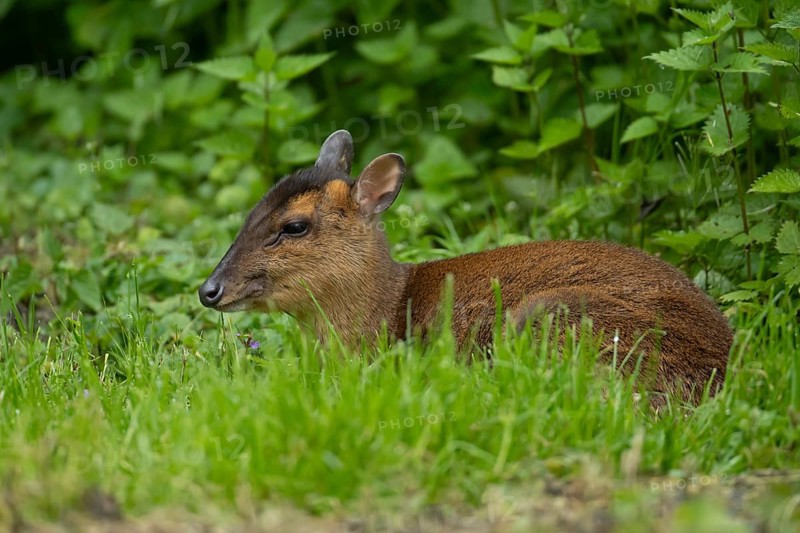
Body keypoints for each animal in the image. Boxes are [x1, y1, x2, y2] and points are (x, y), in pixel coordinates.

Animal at [199, 130, 733, 405]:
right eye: (252, 210)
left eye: (294, 226)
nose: (209, 289)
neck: (388, 309)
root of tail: (721, 366)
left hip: (547, 315)